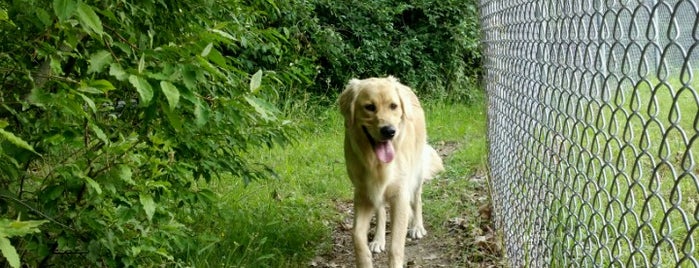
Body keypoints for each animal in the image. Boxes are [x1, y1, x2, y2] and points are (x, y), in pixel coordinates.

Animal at [338, 76, 442, 266]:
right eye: (369, 107)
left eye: (393, 106)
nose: (389, 131)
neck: (376, 163)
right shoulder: (363, 194)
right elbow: (356, 235)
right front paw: (365, 261)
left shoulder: (400, 196)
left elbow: (396, 247)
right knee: (380, 211)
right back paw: (378, 239)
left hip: (416, 174)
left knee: (417, 199)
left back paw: (417, 226)